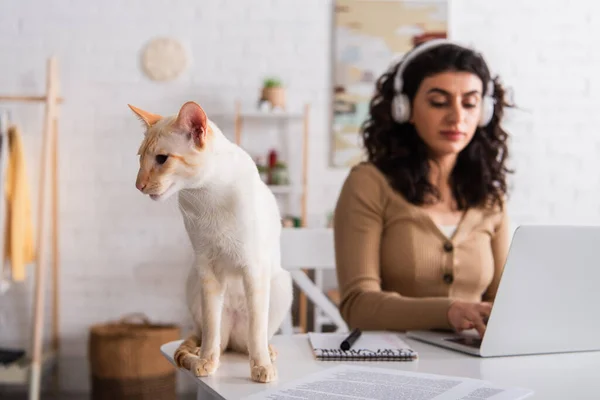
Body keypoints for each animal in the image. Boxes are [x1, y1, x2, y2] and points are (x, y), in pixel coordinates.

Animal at [128, 101, 292, 382]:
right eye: (140, 158)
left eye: (161, 159)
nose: (139, 186)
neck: (206, 196)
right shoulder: (207, 268)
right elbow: (211, 329)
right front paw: (205, 363)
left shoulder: (254, 269)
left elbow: (256, 330)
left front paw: (261, 367)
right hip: (194, 279)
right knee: (215, 339)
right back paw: (200, 355)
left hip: (281, 282)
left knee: (248, 342)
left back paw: (267, 354)